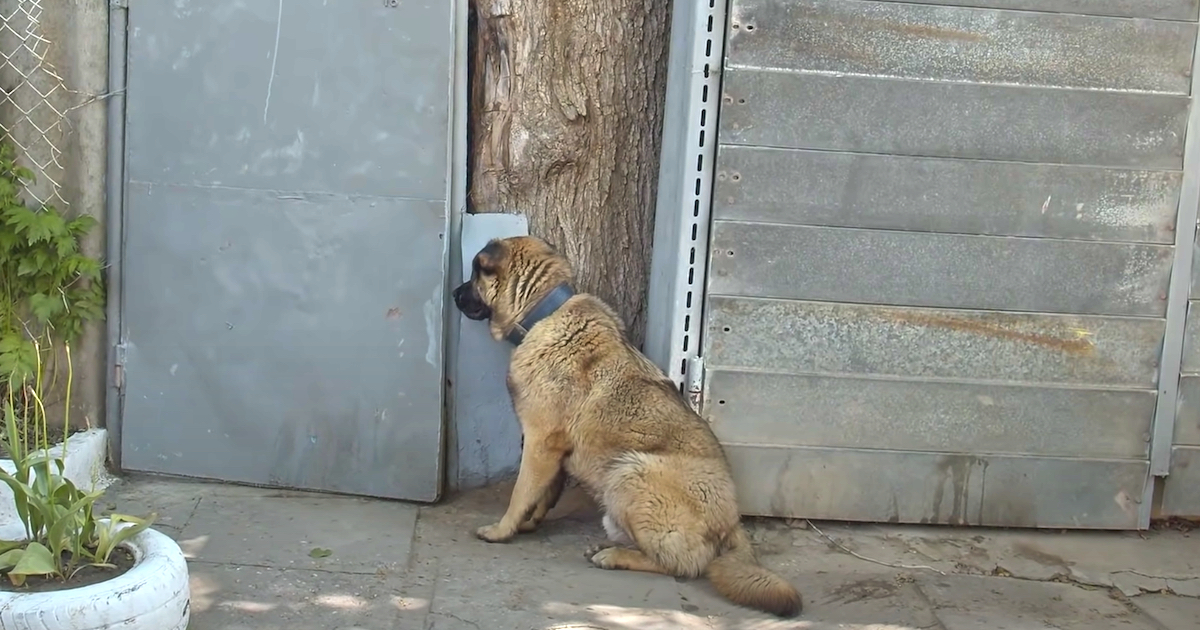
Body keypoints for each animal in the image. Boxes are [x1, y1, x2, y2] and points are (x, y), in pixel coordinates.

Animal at [453, 234, 801, 614]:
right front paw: (530, 522)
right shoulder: (552, 450)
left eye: (474, 273)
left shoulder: (539, 442)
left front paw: (502, 530)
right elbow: (545, 493)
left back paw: (616, 556)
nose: (453, 293)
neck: (543, 312)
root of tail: (732, 521)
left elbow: (521, 492)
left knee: (683, 565)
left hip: (629, 472)